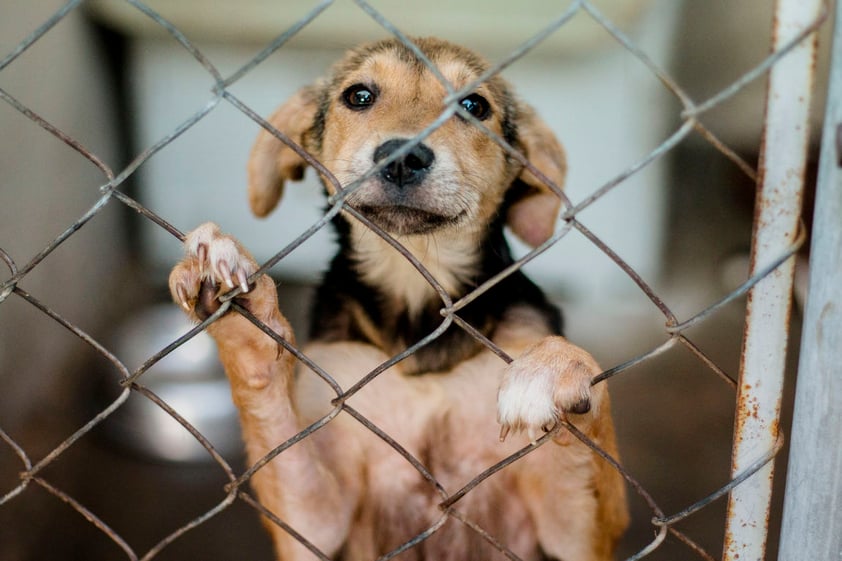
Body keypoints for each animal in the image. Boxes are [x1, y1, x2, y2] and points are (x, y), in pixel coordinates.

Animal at [167, 37, 624, 556]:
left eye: (474, 106)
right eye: (359, 96)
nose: (403, 157)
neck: (417, 294)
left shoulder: (576, 536)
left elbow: (594, 413)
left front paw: (556, 366)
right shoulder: (314, 520)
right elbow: (262, 388)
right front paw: (239, 309)